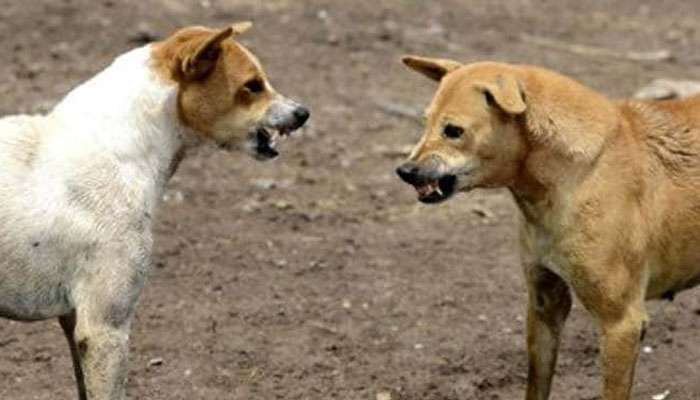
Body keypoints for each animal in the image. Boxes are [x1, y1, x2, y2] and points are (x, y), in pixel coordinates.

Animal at [396, 54, 700, 400]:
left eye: (453, 131)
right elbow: (537, 383)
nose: (405, 170)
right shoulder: (544, 304)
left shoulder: (621, 322)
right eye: (426, 122)